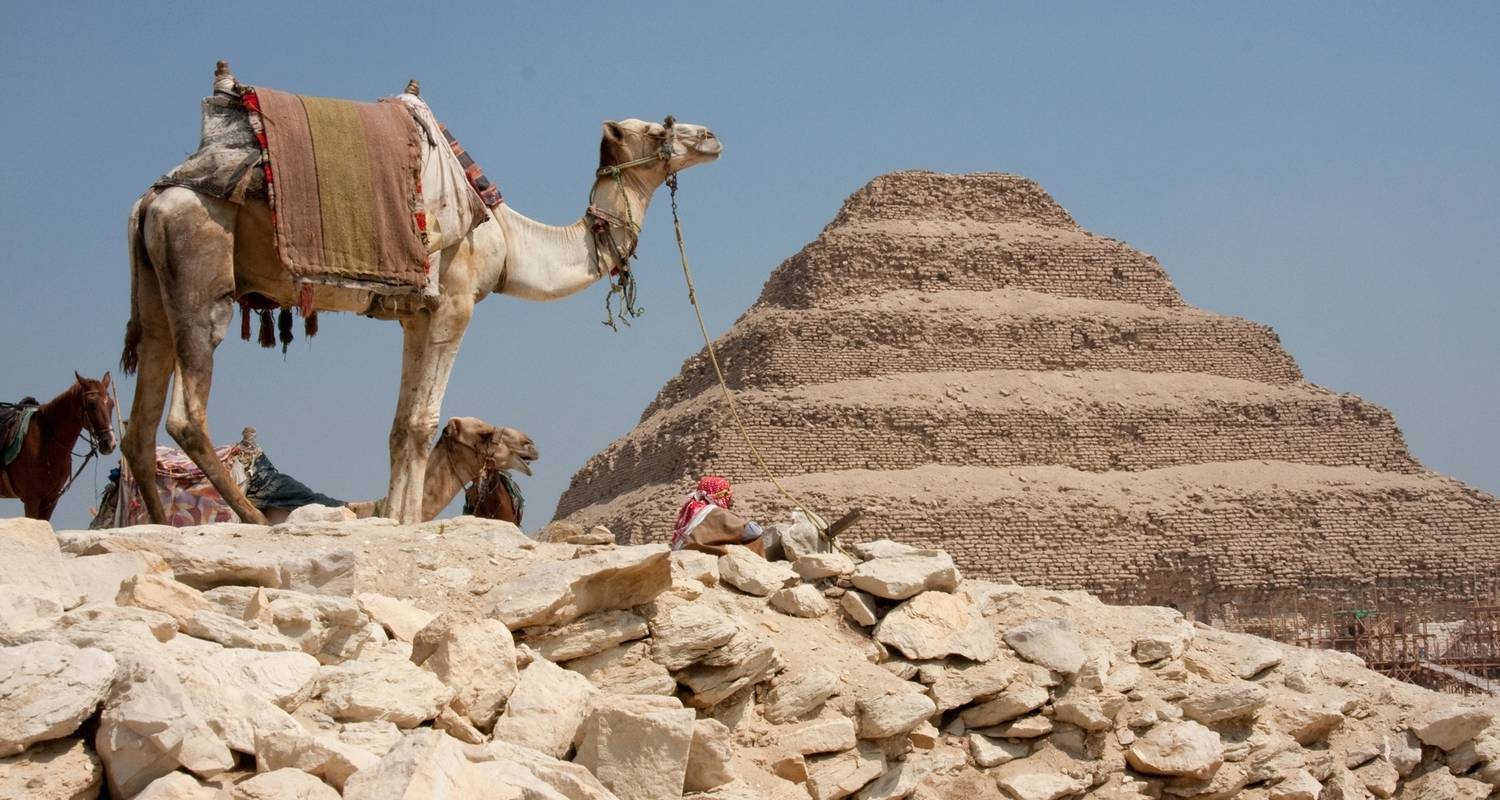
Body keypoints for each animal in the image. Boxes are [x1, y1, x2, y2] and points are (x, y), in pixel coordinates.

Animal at [0, 372, 117, 522]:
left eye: (111, 404)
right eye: (92, 404)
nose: (110, 443)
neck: (46, 442)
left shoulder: (50, 500)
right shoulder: (31, 499)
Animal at [123, 68, 720, 525]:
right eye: (658, 129)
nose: (712, 136)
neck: (507, 240)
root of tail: (150, 201)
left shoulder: (416, 315)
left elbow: (398, 426)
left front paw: (395, 518)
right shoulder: (454, 303)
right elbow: (421, 422)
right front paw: (408, 521)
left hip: (154, 292)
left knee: (139, 425)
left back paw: (160, 524)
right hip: (200, 274)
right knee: (185, 414)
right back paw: (249, 517)